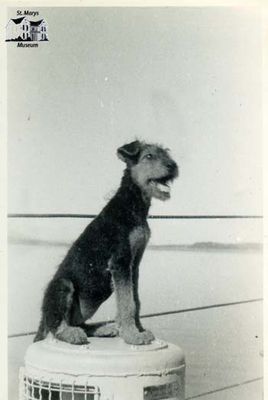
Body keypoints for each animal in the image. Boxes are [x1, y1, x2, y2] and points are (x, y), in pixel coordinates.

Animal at [34, 139, 178, 346]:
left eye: (166, 154)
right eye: (149, 156)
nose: (173, 166)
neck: (132, 203)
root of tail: (42, 318)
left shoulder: (133, 265)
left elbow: (135, 300)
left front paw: (139, 329)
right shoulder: (120, 262)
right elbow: (127, 303)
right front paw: (132, 335)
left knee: (79, 323)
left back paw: (103, 329)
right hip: (63, 284)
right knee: (57, 326)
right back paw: (71, 334)